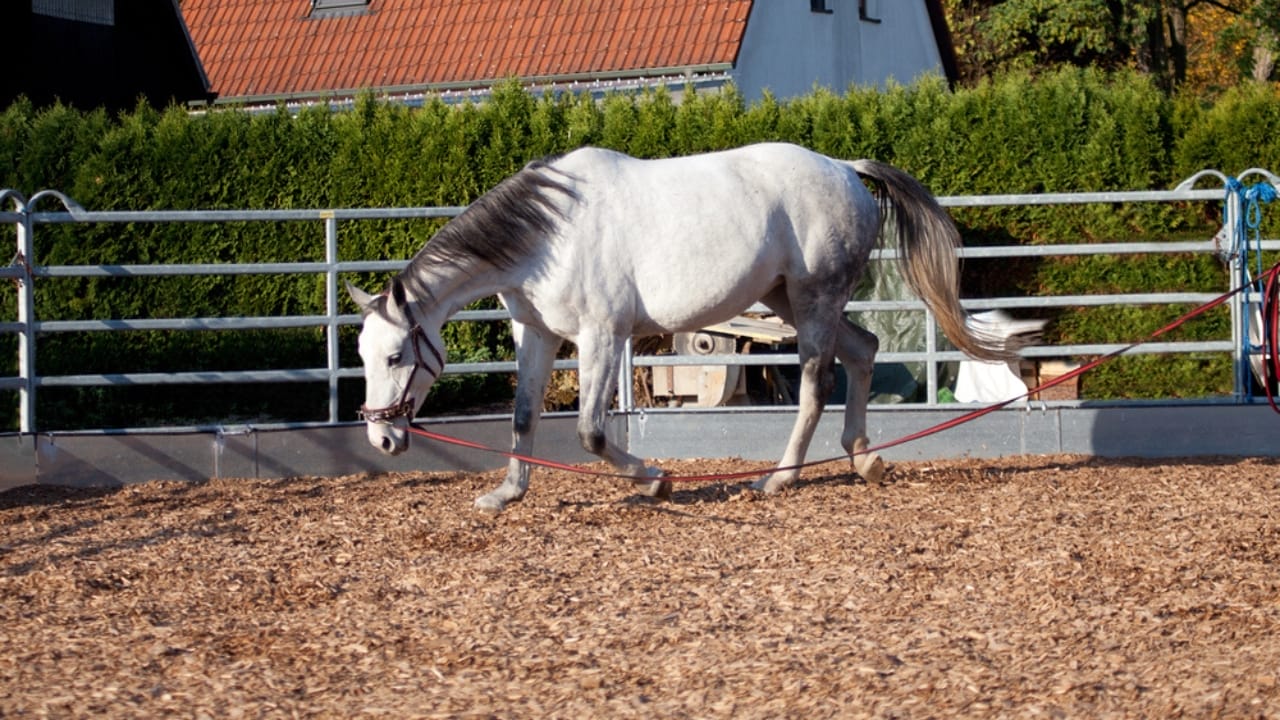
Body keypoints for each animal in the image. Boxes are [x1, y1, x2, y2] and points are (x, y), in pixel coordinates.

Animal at [347, 142, 1012, 514]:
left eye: (395, 356)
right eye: (363, 355)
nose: (382, 439)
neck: (548, 235)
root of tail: (844, 169)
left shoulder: (600, 336)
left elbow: (591, 431)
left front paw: (655, 482)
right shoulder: (536, 333)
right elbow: (523, 416)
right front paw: (505, 495)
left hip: (813, 300)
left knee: (816, 386)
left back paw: (777, 481)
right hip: (787, 299)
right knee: (864, 350)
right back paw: (865, 462)